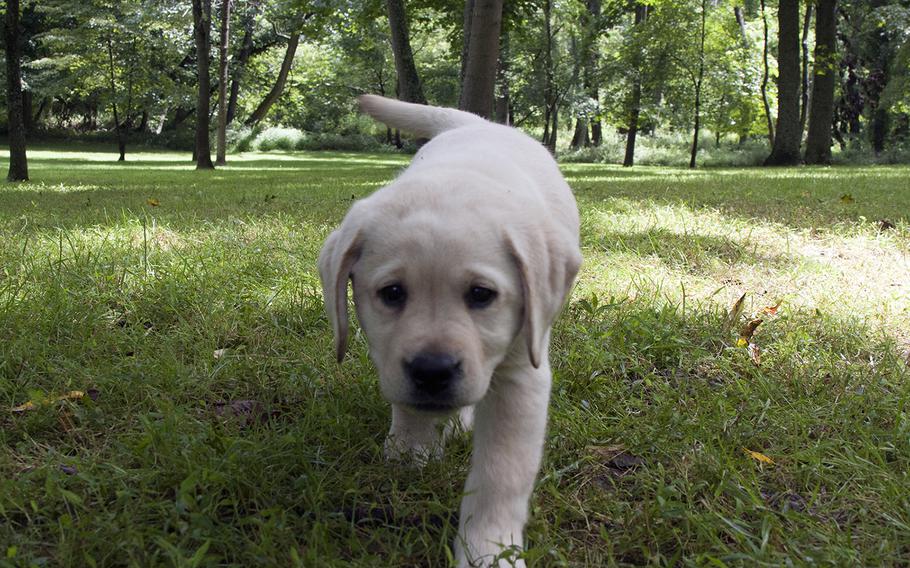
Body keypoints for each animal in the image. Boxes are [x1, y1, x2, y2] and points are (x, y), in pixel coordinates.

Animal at [318, 95, 580, 564]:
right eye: (392, 293)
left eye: (481, 295)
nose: (433, 371)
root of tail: (480, 124)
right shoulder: (394, 360)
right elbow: (409, 404)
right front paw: (411, 450)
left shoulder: (521, 374)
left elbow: (501, 472)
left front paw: (490, 550)